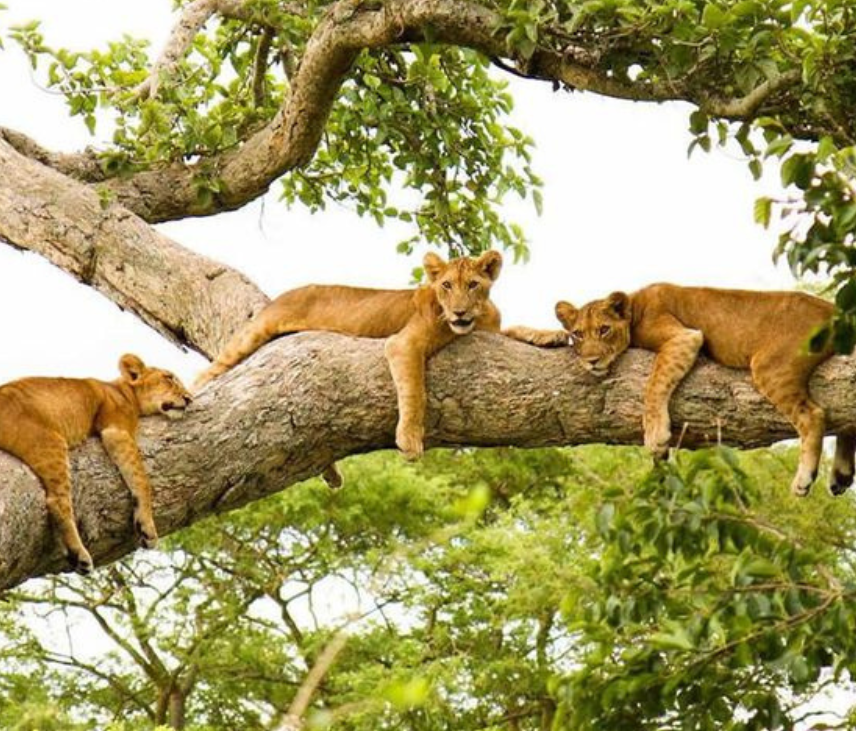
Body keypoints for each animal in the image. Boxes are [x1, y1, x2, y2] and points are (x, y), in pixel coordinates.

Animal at [0, 354, 192, 574]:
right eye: (168, 377)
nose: (189, 399)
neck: (124, 391)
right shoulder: (116, 430)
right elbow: (142, 480)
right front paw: (147, 527)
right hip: (49, 441)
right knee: (57, 501)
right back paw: (79, 555)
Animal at [194, 250, 504, 469]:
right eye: (447, 285)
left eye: (473, 285)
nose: (459, 312)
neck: (478, 318)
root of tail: (284, 294)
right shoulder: (403, 344)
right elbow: (415, 392)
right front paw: (410, 439)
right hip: (254, 333)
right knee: (207, 373)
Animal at [508, 283, 848, 498]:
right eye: (578, 334)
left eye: (603, 330)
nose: (592, 361)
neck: (634, 305)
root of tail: (834, 310)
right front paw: (532, 333)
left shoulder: (684, 336)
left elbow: (654, 383)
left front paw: (656, 436)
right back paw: (842, 476)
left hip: (770, 365)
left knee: (815, 414)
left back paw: (805, 479)